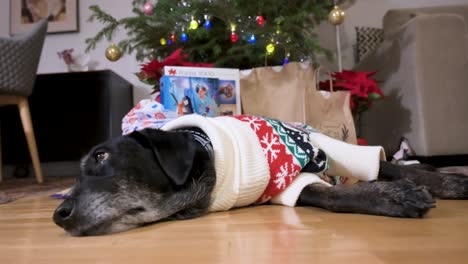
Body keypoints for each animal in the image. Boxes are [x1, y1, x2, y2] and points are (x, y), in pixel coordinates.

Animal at [53, 125, 468, 236]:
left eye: (101, 156)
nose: (60, 214)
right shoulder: (288, 187)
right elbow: (331, 195)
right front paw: (394, 196)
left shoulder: (321, 150)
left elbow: (391, 171)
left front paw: (404, 192)